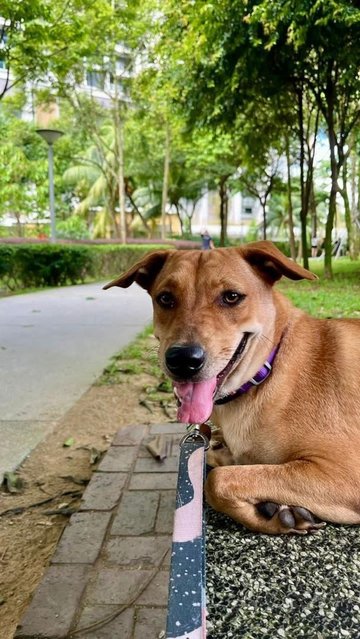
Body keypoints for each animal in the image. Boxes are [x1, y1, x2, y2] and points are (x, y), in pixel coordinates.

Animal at [104, 242, 360, 536]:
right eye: (165, 298)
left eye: (232, 297)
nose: (182, 360)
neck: (268, 371)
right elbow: (220, 464)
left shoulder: (344, 472)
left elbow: (216, 481)